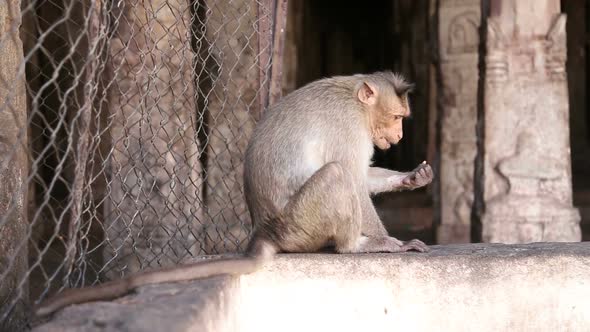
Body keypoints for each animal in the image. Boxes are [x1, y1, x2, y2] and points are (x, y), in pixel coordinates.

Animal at [34, 70, 438, 316]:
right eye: (397, 117)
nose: (399, 135)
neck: (355, 99)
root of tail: (266, 230)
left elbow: (364, 176)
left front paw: (412, 178)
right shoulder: (347, 126)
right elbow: (352, 176)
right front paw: (393, 242)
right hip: (301, 222)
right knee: (337, 175)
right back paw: (356, 244)